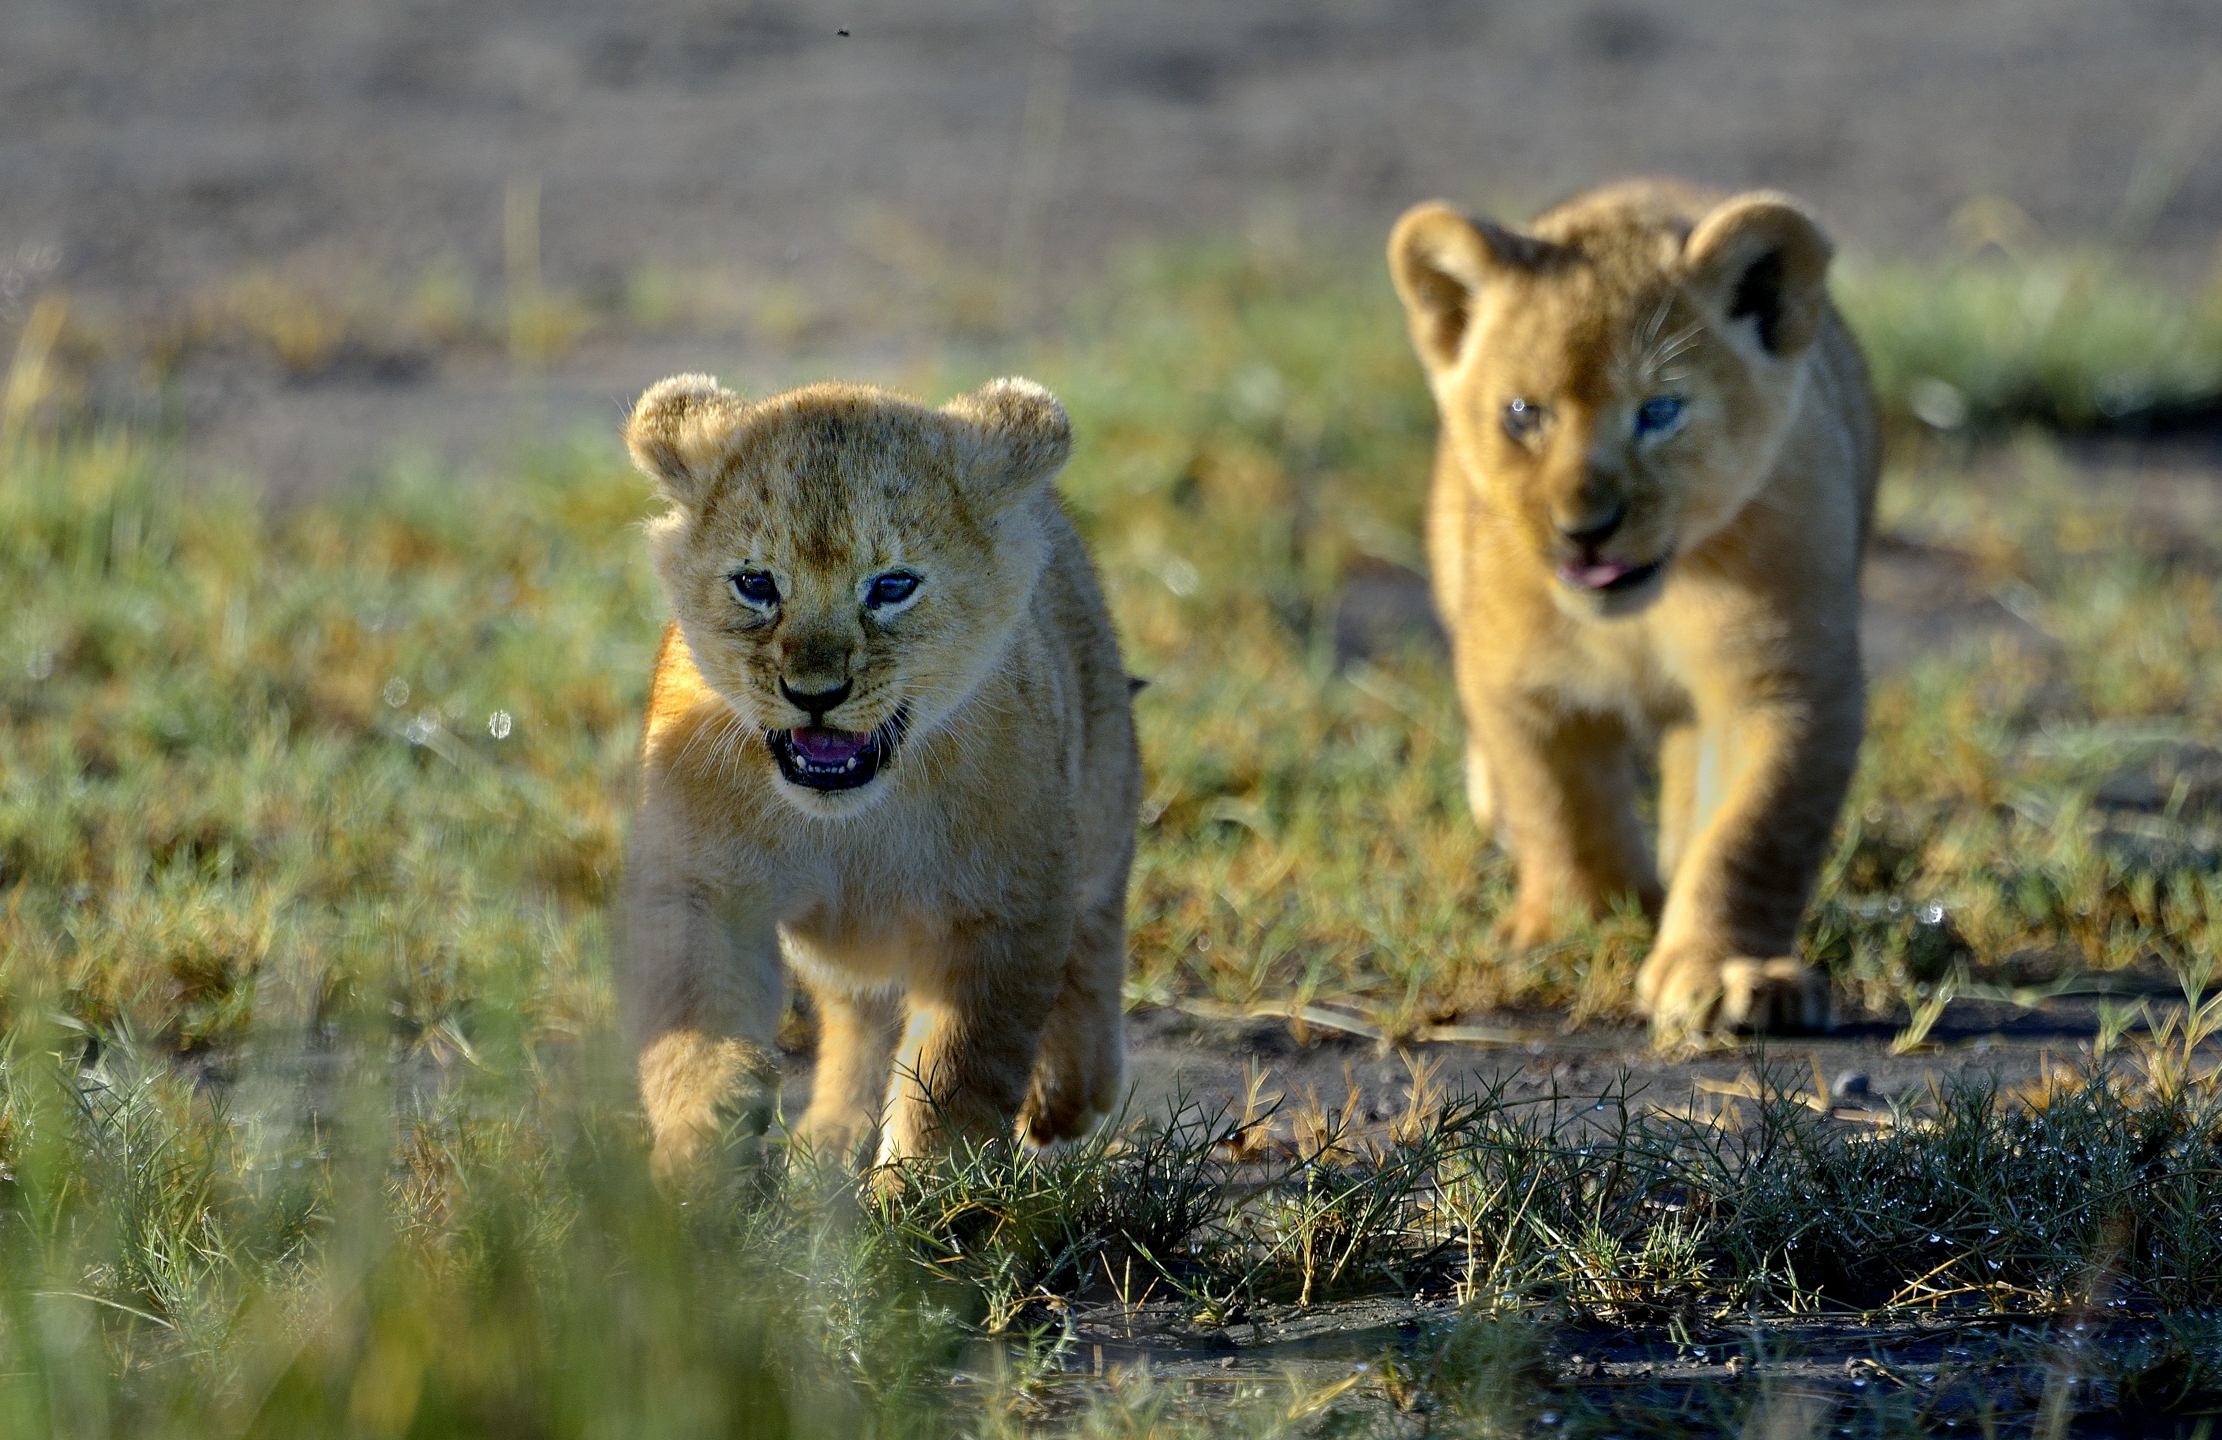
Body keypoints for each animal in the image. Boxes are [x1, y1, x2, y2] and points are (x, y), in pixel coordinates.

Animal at [618, 374, 1139, 1179]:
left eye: (892, 586)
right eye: (756, 584)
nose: (816, 693)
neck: (850, 826)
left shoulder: (1003, 910)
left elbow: (955, 1069)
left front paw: (923, 1189)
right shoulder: (699, 881)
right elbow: (689, 1015)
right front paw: (706, 1132)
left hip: (1102, 788)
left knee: (1097, 921)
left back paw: (1068, 1090)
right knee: (854, 1015)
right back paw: (826, 1141)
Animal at [1387, 178, 1879, 1044]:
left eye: (1659, 411)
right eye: (1525, 412)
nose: (1585, 530)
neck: (1646, 613)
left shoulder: (1789, 683)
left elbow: (1756, 830)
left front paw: (1728, 972)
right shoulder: (1521, 685)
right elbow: (1558, 807)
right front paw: (1583, 925)